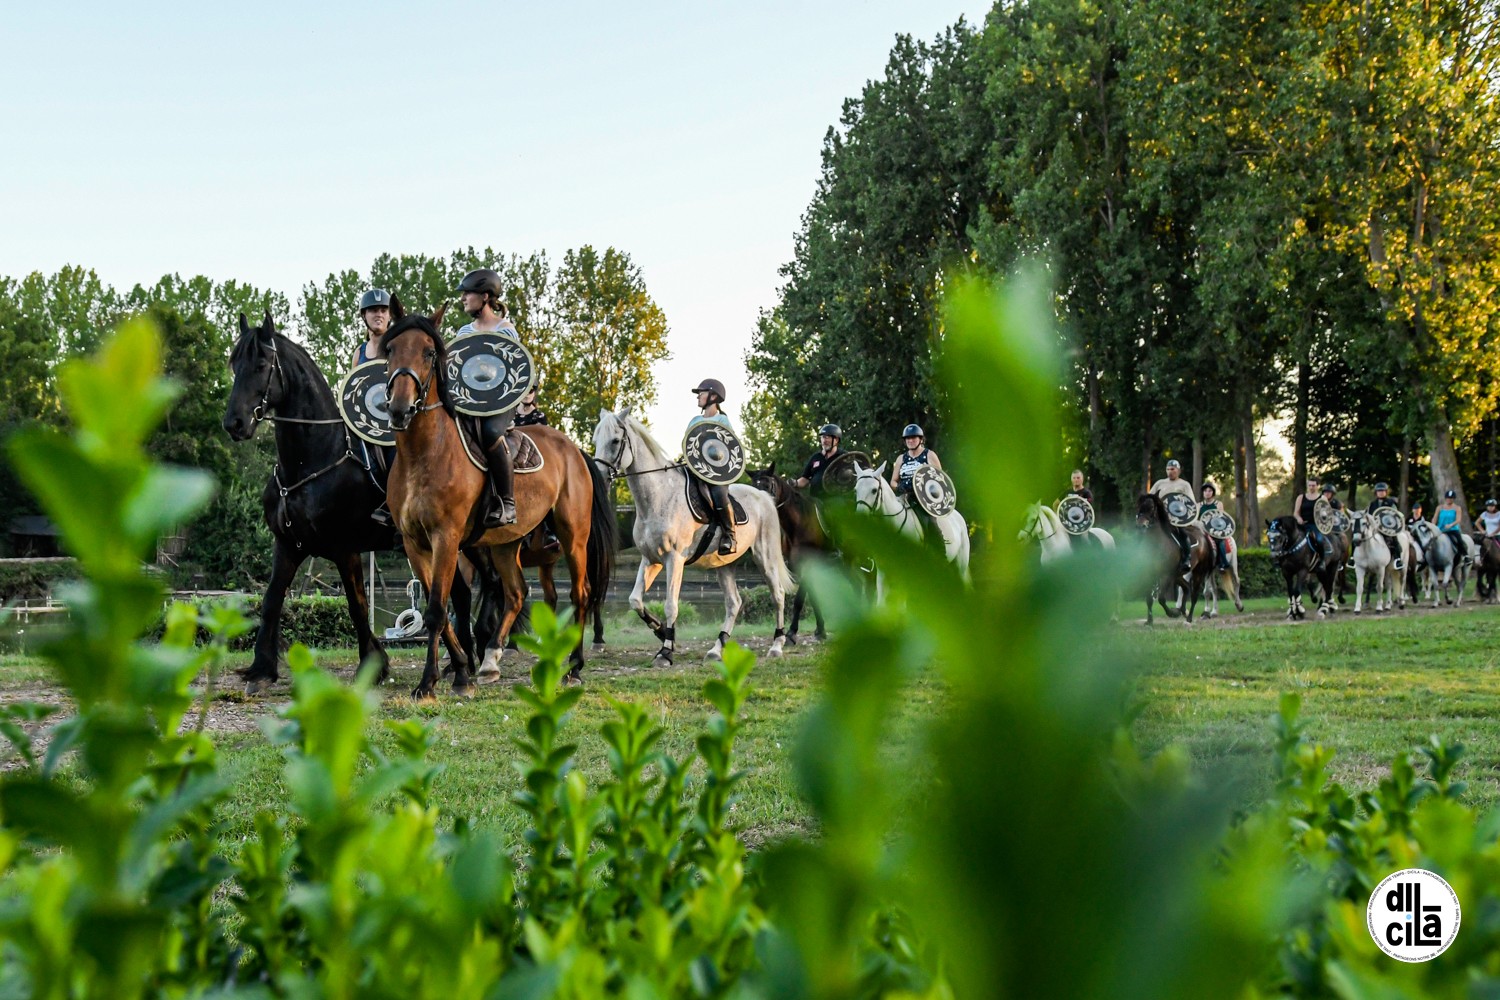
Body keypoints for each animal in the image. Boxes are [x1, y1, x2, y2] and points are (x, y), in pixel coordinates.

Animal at [219, 313, 468, 695]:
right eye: (235, 365)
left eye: (261, 365)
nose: (234, 423)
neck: (311, 460)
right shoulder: (287, 544)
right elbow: (271, 600)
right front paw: (261, 669)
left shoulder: (343, 548)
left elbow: (356, 606)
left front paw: (373, 665)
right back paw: (462, 665)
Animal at [381, 302, 609, 695]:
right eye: (392, 349)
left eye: (428, 352)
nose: (400, 409)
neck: (423, 455)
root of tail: (574, 449)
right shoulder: (415, 543)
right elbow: (444, 609)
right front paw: (460, 670)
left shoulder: (446, 539)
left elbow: (438, 610)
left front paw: (429, 682)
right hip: (506, 543)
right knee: (516, 593)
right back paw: (490, 661)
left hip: (572, 536)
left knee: (580, 594)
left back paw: (574, 667)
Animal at [591, 407, 798, 665]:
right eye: (595, 441)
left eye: (615, 441)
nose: (599, 478)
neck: (658, 497)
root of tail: (764, 496)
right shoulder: (650, 560)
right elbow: (634, 600)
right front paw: (662, 632)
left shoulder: (674, 559)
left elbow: (671, 605)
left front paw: (665, 652)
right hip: (725, 564)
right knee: (734, 603)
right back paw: (716, 648)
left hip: (764, 557)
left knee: (778, 594)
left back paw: (777, 645)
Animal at [1128, 494, 1212, 626]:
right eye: (1138, 507)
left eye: (1151, 507)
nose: (1140, 526)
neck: (1156, 544)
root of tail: (1203, 535)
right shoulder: (1150, 575)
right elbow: (1149, 599)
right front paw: (1149, 621)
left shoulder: (1165, 575)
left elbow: (1161, 599)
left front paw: (1173, 613)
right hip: (1177, 575)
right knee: (1186, 587)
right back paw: (1183, 610)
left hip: (1198, 572)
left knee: (1194, 594)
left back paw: (1188, 618)